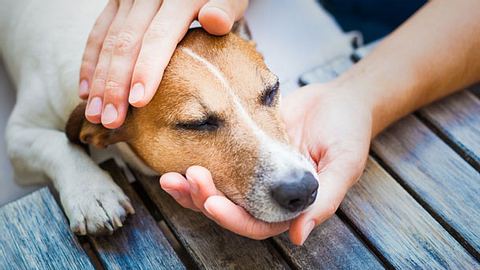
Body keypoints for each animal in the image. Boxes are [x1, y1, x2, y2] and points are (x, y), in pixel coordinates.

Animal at [0, 0, 318, 236]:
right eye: (197, 124)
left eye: (272, 91)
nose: (302, 189)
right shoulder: (18, 135)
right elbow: (56, 144)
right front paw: (92, 192)